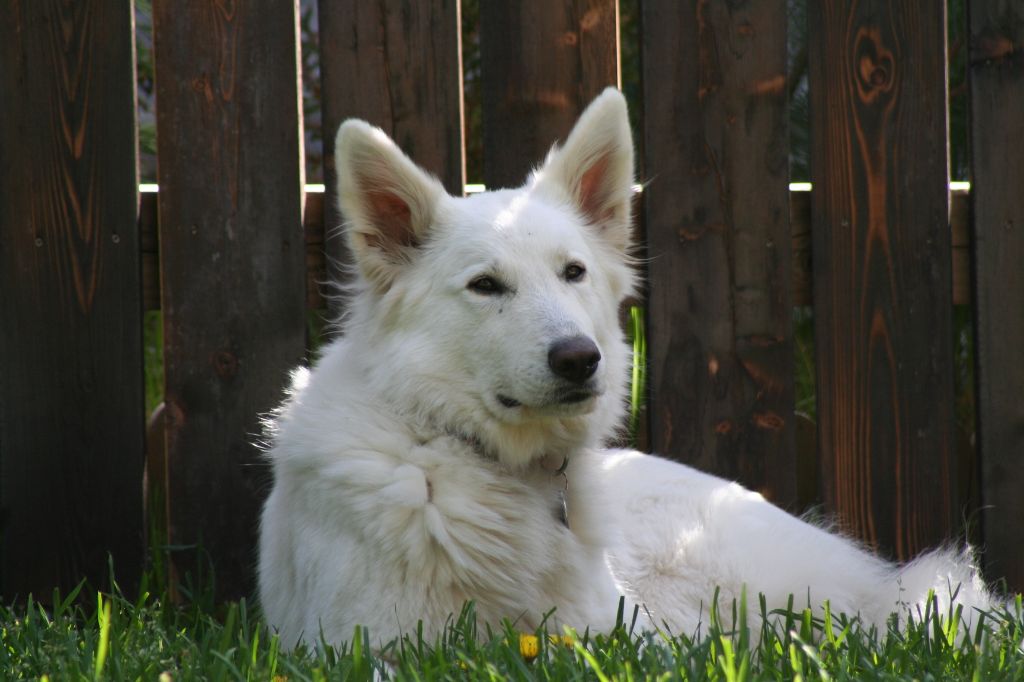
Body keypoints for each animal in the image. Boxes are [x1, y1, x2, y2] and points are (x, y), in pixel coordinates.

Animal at [260, 87, 995, 647]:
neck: (454, 449)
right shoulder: (370, 645)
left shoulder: (620, 635)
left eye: (574, 272)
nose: (581, 359)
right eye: (485, 286)